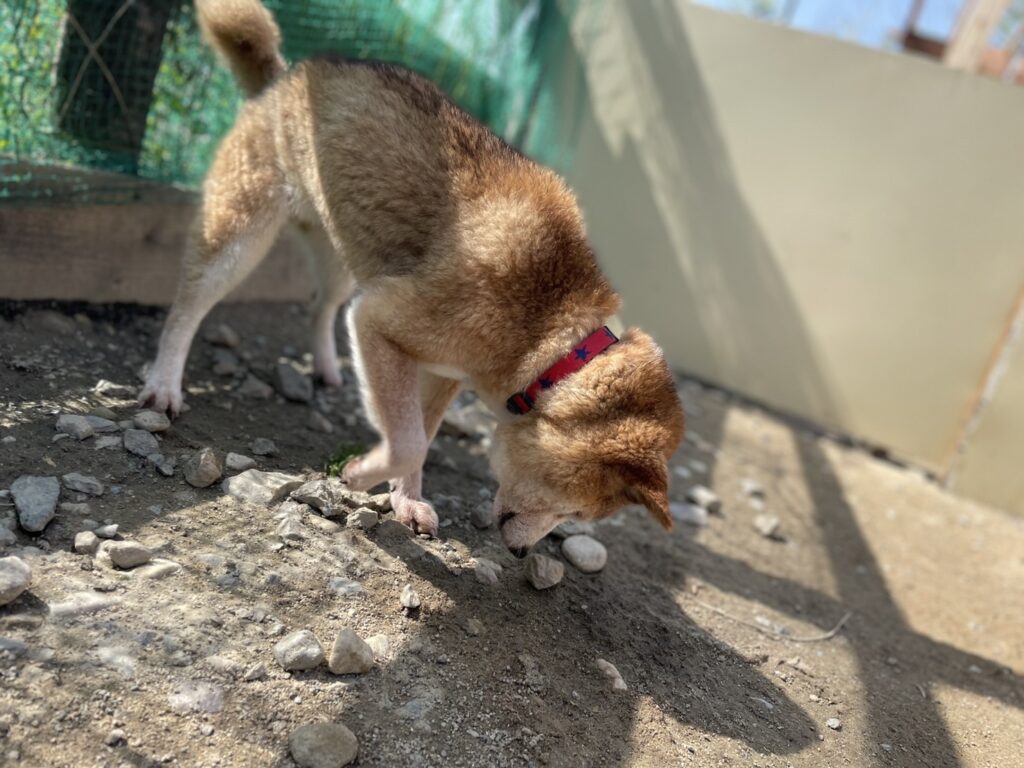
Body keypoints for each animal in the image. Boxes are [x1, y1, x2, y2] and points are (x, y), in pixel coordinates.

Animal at [140, 0, 685, 555]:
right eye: (578, 510)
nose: (520, 552)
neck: (550, 339)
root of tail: (283, 76)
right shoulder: (381, 320)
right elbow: (408, 442)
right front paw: (360, 474)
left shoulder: (443, 367)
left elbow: (421, 436)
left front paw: (405, 500)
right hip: (241, 235)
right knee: (188, 306)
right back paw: (164, 384)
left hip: (346, 258)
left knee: (319, 306)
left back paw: (326, 368)